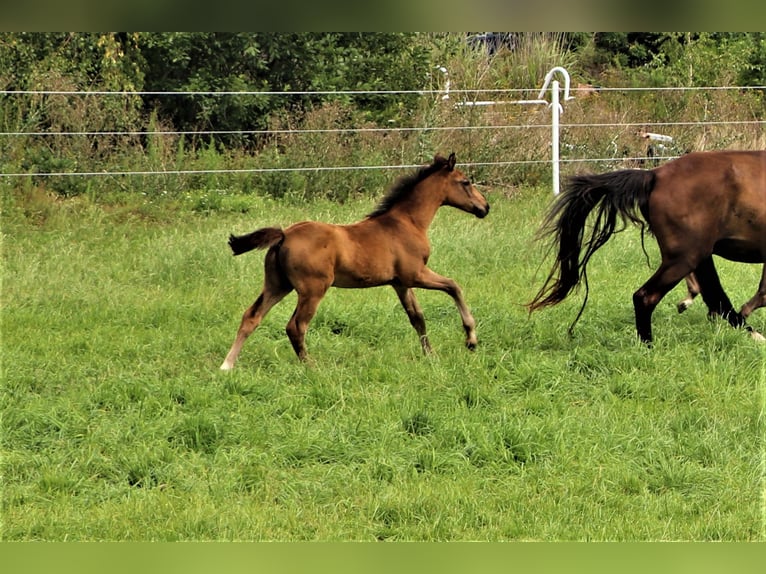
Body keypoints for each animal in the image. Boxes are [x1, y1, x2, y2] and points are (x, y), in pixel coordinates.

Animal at [220, 153, 490, 368]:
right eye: (466, 182)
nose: (485, 207)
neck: (407, 223)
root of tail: (284, 235)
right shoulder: (415, 274)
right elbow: (454, 286)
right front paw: (471, 339)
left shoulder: (400, 283)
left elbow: (417, 318)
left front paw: (431, 356)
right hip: (312, 290)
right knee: (296, 326)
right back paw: (312, 367)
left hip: (277, 285)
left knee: (251, 317)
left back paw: (227, 365)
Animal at [527, 150, 765, 344]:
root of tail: (654, 175)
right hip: (686, 257)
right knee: (646, 296)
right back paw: (648, 345)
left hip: (697, 255)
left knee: (713, 296)